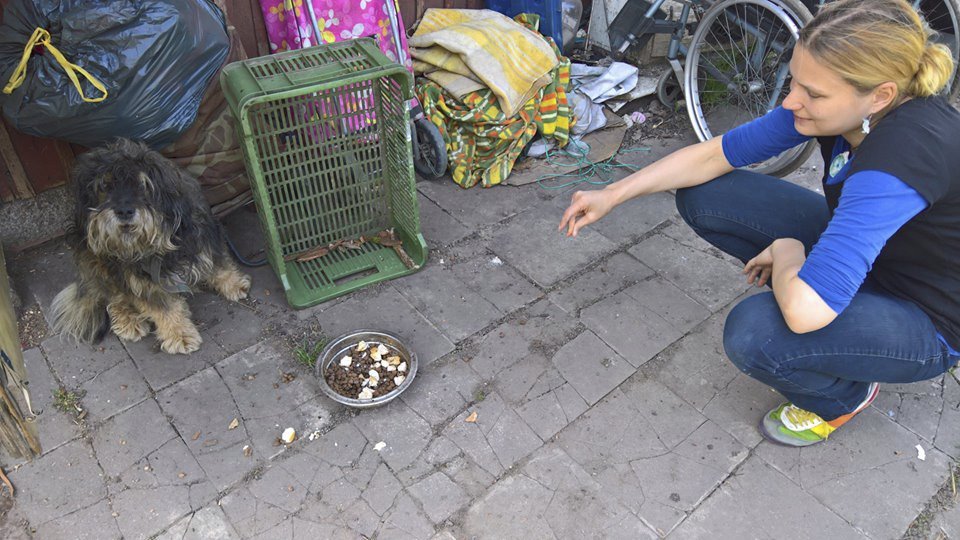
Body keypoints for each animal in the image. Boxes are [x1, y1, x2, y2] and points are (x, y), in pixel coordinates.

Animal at [51, 138, 251, 354]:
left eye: (143, 184)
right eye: (104, 186)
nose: (124, 211)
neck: (160, 243)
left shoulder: (205, 237)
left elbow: (219, 265)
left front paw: (234, 284)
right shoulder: (142, 280)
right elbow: (163, 308)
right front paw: (179, 334)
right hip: (96, 262)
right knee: (113, 298)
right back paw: (127, 319)